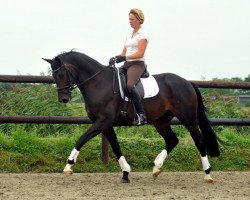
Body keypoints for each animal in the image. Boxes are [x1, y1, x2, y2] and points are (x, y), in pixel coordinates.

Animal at [44, 51, 220, 183]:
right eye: (54, 75)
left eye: (62, 74)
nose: (63, 99)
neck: (98, 83)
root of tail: (187, 82)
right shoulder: (105, 124)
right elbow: (115, 146)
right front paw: (126, 173)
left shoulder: (102, 121)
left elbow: (82, 139)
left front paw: (68, 166)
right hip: (161, 121)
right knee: (172, 140)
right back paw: (157, 167)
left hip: (188, 119)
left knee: (199, 141)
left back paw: (208, 174)